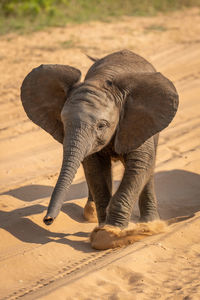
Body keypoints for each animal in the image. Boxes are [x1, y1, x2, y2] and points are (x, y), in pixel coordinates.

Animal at [21, 50, 179, 250]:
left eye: (102, 125)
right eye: (63, 122)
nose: (47, 220)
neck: (102, 80)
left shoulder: (138, 121)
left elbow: (139, 165)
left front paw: (108, 235)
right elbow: (95, 170)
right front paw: (103, 229)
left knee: (148, 168)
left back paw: (150, 225)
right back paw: (91, 214)